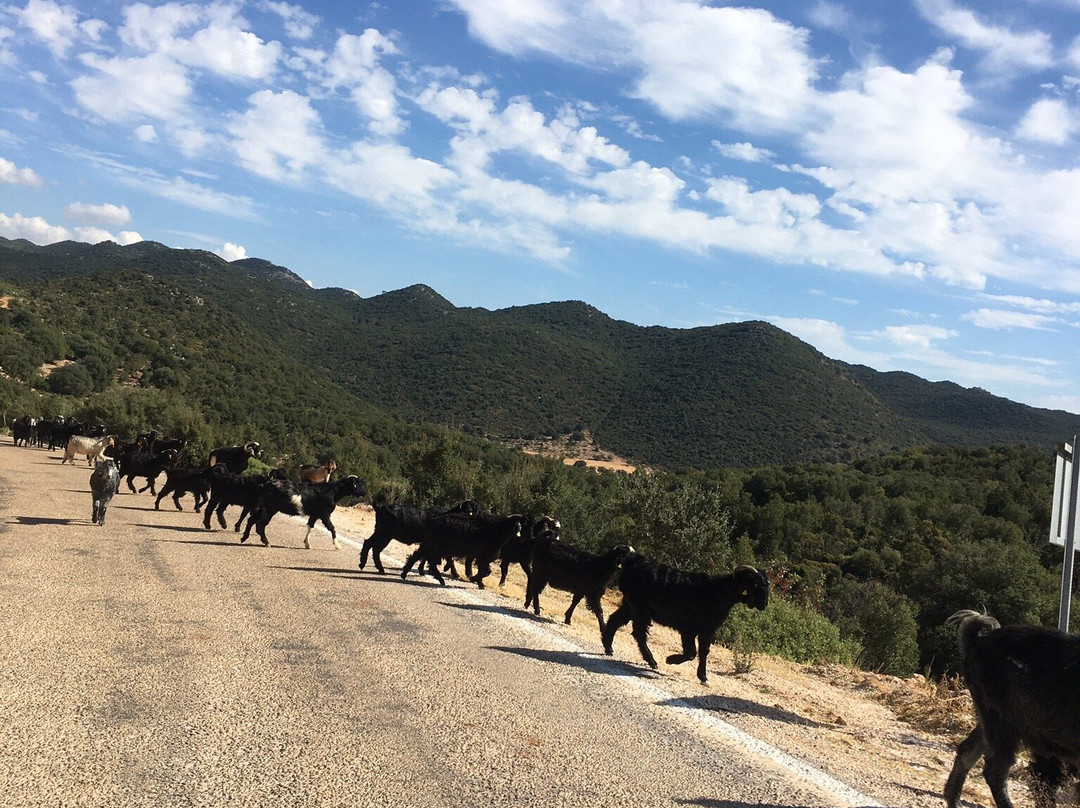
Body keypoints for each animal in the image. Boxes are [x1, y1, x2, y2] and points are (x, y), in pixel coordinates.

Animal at [600, 557, 768, 687]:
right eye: (755, 585)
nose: (764, 605)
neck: (718, 592)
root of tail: (632, 563)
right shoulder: (689, 629)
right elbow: (691, 653)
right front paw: (670, 660)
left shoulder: (708, 630)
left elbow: (704, 651)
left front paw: (703, 678)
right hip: (640, 608)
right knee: (639, 633)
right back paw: (652, 661)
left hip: (630, 605)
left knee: (615, 620)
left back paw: (609, 648)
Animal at [941, 613, 1080, 808]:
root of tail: (975, 642)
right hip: (1002, 721)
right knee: (995, 769)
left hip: (988, 717)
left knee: (967, 750)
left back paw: (954, 801)